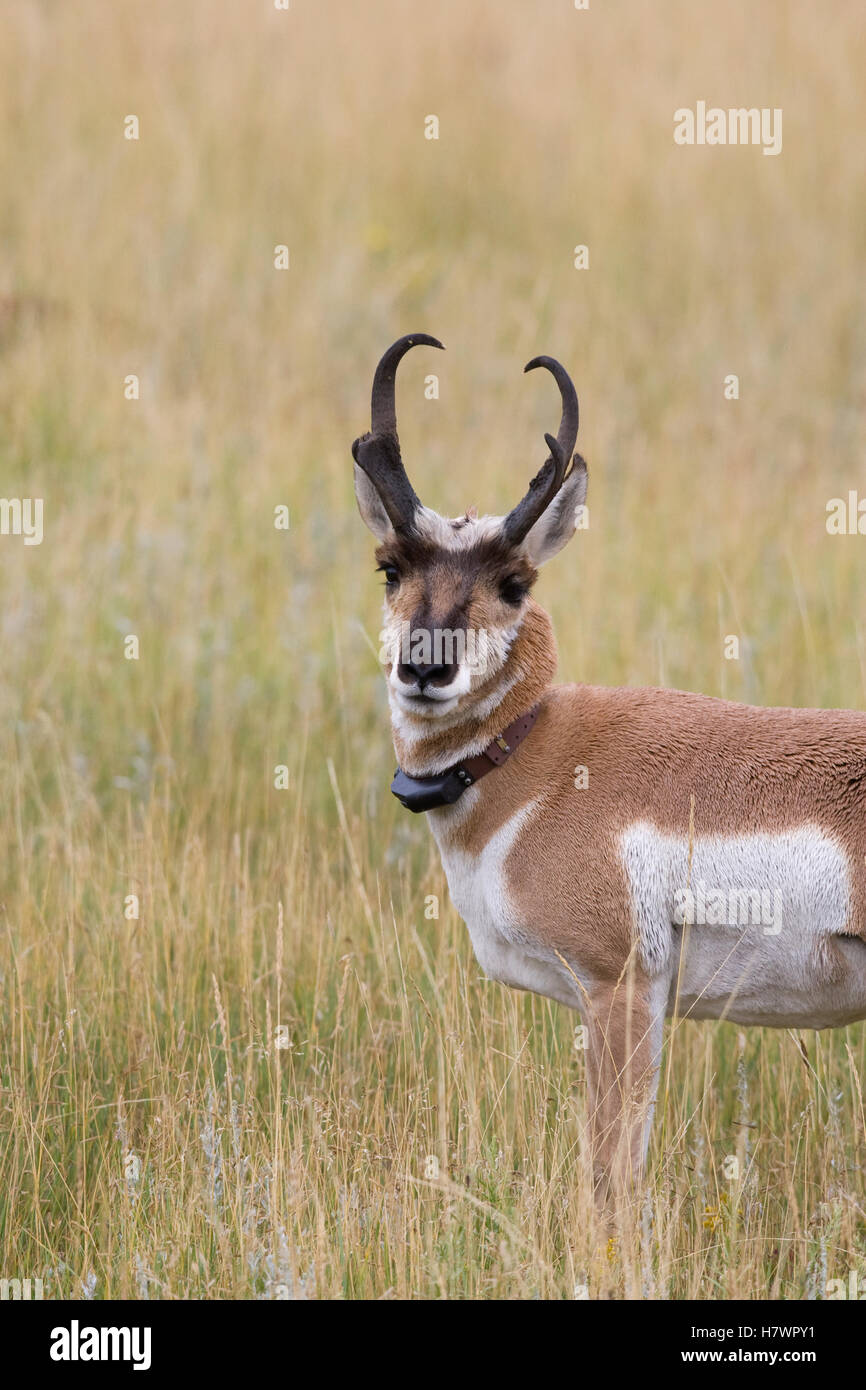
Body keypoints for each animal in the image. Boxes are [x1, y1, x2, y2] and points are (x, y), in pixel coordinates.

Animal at [352, 333, 866, 1200]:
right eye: (391, 567)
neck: (537, 757)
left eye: (513, 582)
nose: (426, 667)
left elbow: (611, 1179)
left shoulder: (619, 990)